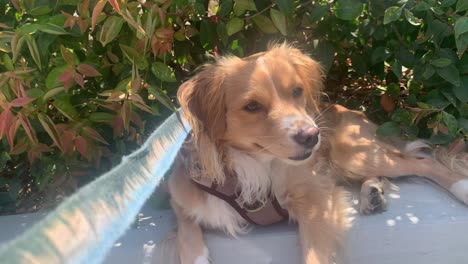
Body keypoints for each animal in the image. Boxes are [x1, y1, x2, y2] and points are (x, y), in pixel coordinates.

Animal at [165, 44, 468, 262]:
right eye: (251, 106)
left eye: (297, 91)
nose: (312, 136)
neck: (252, 167)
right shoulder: (181, 200)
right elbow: (187, 235)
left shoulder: (316, 200)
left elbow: (315, 254)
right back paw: (372, 193)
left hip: (353, 154)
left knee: (423, 162)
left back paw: (461, 188)